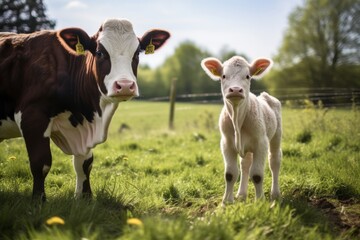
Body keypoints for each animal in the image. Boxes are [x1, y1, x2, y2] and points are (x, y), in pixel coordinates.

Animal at [0, 18, 170, 202]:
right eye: (100, 53)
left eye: (137, 53)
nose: (125, 86)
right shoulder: (33, 116)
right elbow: (41, 163)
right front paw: (39, 201)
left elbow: (85, 164)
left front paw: (86, 198)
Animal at [200, 55, 282, 205]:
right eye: (223, 76)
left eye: (248, 76)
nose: (236, 90)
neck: (237, 119)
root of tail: (264, 95)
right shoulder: (226, 144)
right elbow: (230, 174)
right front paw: (227, 201)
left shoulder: (261, 143)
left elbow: (257, 174)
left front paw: (260, 201)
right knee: (245, 165)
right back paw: (242, 194)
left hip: (276, 135)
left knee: (274, 160)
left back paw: (275, 194)